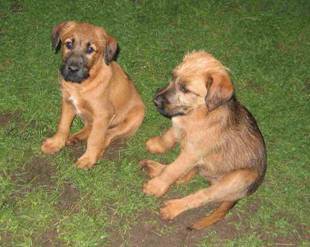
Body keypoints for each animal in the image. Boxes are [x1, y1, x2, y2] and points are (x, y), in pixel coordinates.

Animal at [40, 21, 145, 169]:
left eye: (90, 49)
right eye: (68, 44)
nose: (72, 69)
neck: (81, 85)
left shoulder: (103, 114)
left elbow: (95, 139)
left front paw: (88, 158)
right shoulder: (68, 103)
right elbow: (63, 126)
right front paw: (56, 143)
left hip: (131, 119)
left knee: (108, 135)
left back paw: (98, 151)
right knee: (90, 127)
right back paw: (76, 137)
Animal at [140, 51, 266, 231]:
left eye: (186, 89)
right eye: (173, 76)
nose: (155, 100)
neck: (199, 112)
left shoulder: (191, 153)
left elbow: (173, 170)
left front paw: (156, 186)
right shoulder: (181, 132)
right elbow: (170, 136)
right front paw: (157, 144)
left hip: (237, 178)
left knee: (201, 195)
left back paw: (173, 207)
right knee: (187, 174)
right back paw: (153, 167)